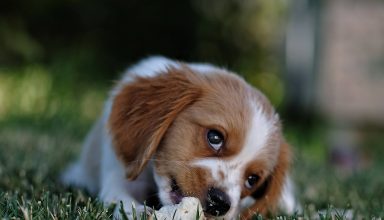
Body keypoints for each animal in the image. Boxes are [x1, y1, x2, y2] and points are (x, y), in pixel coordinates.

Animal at [62, 57, 296, 220]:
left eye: (252, 179)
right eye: (214, 137)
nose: (220, 203)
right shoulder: (118, 173)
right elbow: (119, 196)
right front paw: (139, 211)